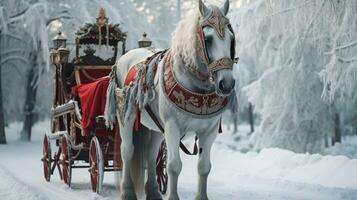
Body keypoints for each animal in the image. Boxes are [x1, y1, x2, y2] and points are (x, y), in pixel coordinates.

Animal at [103, 0, 238, 199]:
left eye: (231, 38)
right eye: (208, 39)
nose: (226, 83)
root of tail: (124, 57)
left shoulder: (209, 130)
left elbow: (204, 167)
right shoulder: (173, 126)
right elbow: (174, 166)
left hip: (157, 127)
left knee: (151, 154)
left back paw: (153, 191)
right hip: (126, 117)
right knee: (127, 151)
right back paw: (127, 192)